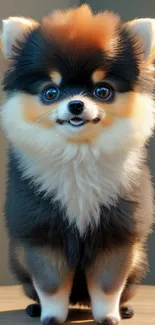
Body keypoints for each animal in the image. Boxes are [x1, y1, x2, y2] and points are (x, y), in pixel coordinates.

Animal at [1, 4, 155, 324]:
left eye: (102, 91)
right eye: (50, 92)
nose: (76, 104)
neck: (78, 154)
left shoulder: (116, 235)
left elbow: (109, 285)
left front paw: (109, 316)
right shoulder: (42, 234)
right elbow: (50, 284)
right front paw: (51, 316)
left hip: (139, 261)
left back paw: (126, 309)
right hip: (18, 259)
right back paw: (34, 308)